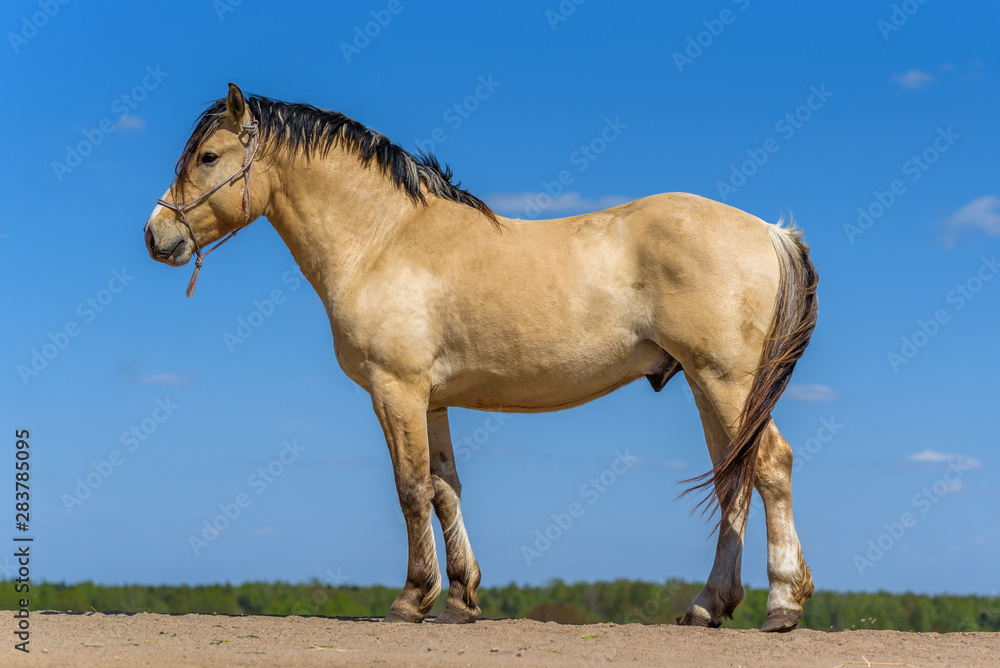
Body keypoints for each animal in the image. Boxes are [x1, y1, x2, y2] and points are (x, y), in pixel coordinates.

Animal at [144, 84, 818, 632]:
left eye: (208, 157)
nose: (156, 236)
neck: (383, 240)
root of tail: (769, 231)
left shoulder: (396, 390)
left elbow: (411, 488)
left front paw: (412, 599)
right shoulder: (431, 399)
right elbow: (445, 489)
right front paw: (461, 600)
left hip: (726, 381)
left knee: (770, 466)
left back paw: (782, 605)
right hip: (710, 387)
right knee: (733, 478)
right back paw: (708, 607)